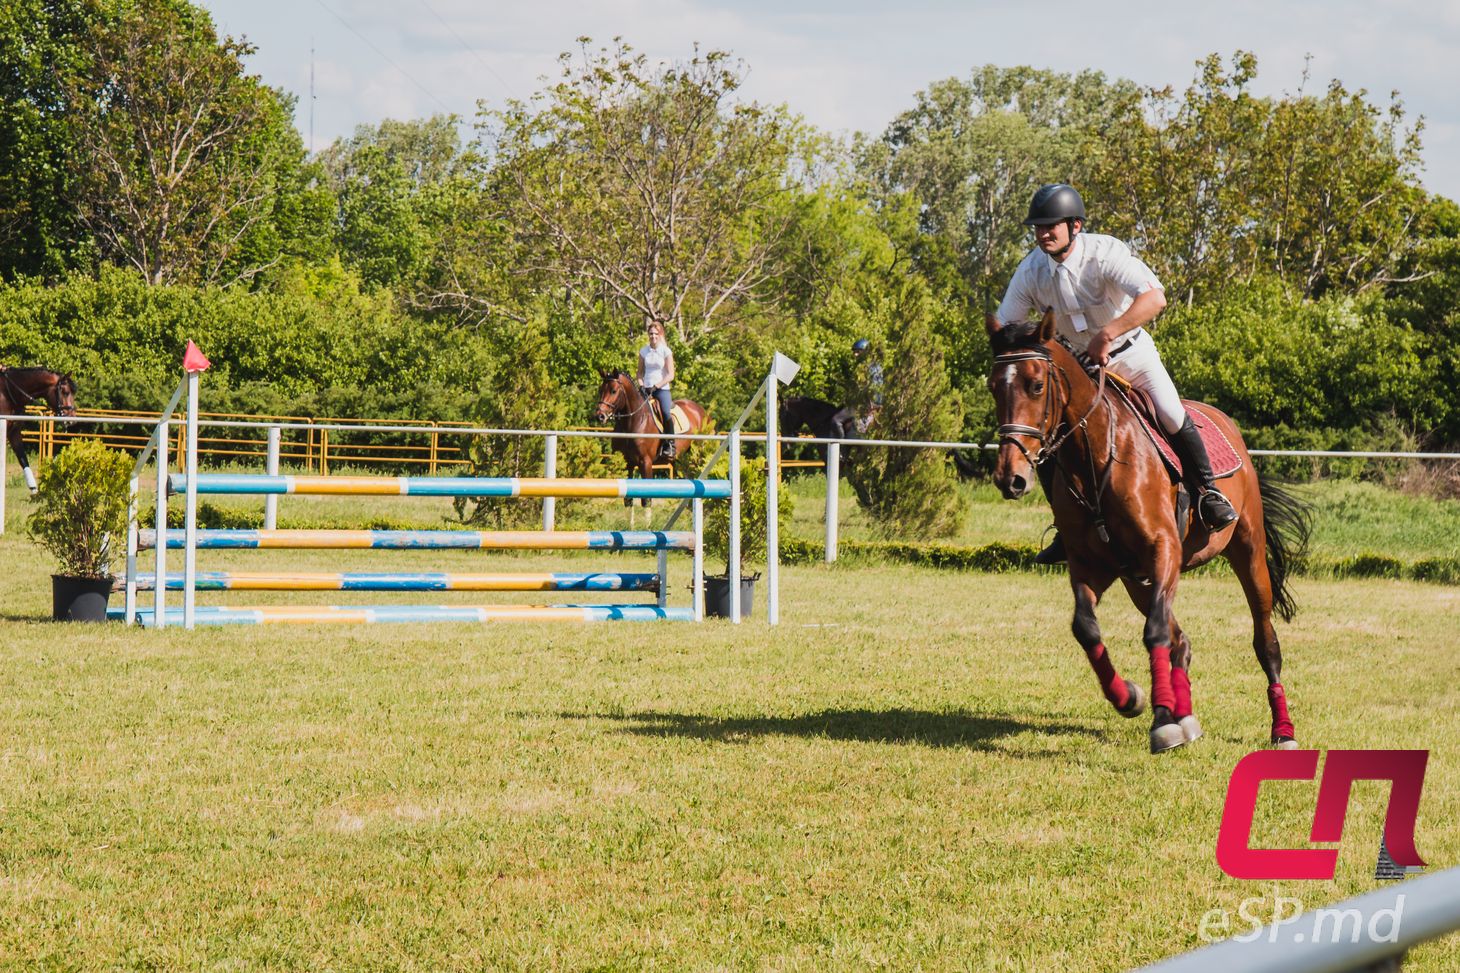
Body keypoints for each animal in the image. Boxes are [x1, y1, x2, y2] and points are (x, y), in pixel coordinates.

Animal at [0, 363, 77, 493]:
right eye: (66, 392)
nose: (72, 420)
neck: (7, 394)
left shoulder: (13, 432)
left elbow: (23, 458)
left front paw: (34, 489)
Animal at [589, 368, 709, 502]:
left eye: (613, 391)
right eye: (600, 390)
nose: (600, 416)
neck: (633, 422)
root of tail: (700, 409)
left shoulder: (645, 462)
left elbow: (646, 499)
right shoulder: (627, 463)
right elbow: (628, 500)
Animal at [981, 314, 1314, 753]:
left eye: (1036, 385)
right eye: (993, 386)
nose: (1010, 478)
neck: (1095, 457)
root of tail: (1225, 422)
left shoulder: (1163, 548)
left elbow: (1153, 632)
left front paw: (1159, 722)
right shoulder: (1091, 565)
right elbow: (1086, 628)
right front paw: (1131, 699)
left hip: (1247, 553)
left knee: (1265, 642)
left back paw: (1282, 731)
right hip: (1138, 580)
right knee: (1181, 641)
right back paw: (1183, 715)